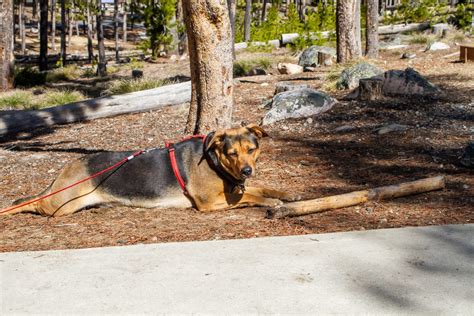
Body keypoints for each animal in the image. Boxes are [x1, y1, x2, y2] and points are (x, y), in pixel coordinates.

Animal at [2, 124, 300, 217]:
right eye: (232, 153)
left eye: (251, 149)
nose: (247, 170)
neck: (215, 162)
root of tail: (67, 167)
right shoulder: (210, 202)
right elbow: (251, 196)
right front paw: (271, 201)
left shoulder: (235, 187)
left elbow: (260, 188)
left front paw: (287, 194)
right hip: (61, 203)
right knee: (32, 203)